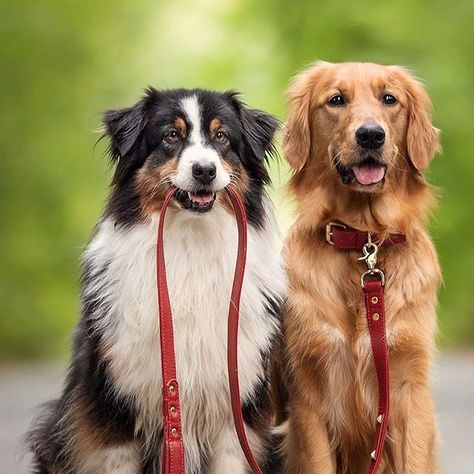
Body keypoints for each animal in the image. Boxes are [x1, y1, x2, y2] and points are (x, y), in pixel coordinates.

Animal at [29, 90, 286, 474]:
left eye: (222, 137)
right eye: (171, 136)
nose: (204, 170)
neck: (190, 243)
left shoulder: (238, 405)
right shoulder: (115, 404)